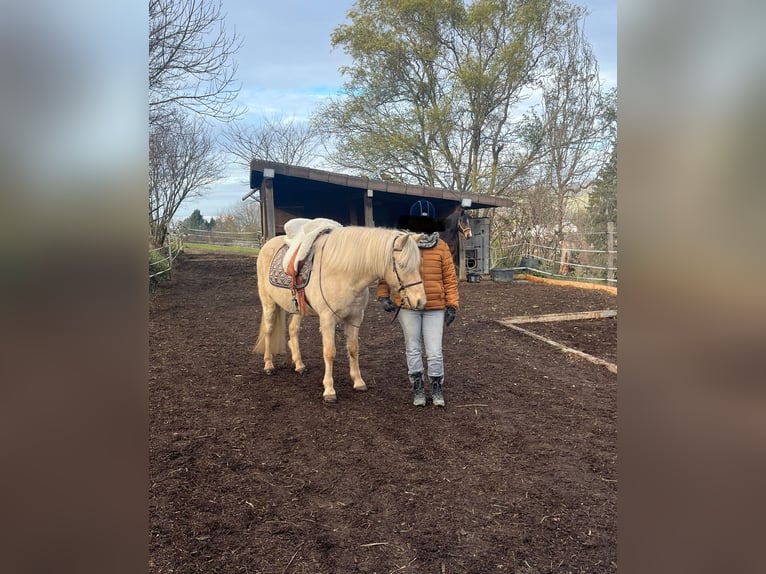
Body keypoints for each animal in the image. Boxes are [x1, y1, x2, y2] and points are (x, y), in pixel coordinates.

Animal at [254, 224, 427, 402]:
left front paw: (358, 382)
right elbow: (330, 353)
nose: (420, 301)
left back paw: (299, 365)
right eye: (402, 265)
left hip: (298, 309)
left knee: (293, 330)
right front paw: (329, 390)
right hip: (268, 303)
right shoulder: (327, 319)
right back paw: (268, 365)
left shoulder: (355, 318)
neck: (345, 273)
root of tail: (268, 244)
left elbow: (353, 349)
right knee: (268, 330)